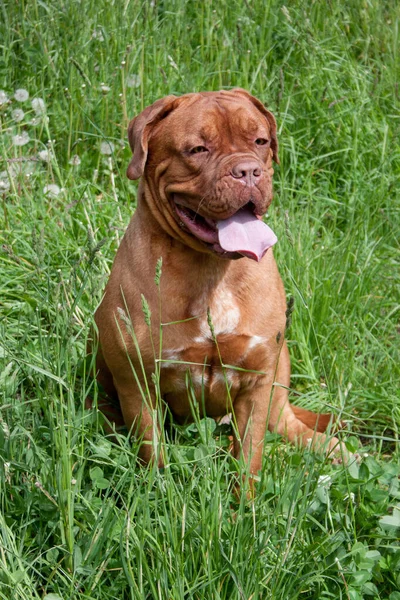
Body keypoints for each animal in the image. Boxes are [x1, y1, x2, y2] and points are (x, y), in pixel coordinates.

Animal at [92, 89, 342, 474]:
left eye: (260, 141)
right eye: (198, 149)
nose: (248, 171)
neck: (211, 270)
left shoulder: (257, 383)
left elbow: (249, 457)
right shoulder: (139, 384)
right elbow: (153, 453)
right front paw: (156, 485)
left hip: (279, 374)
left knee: (287, 424)